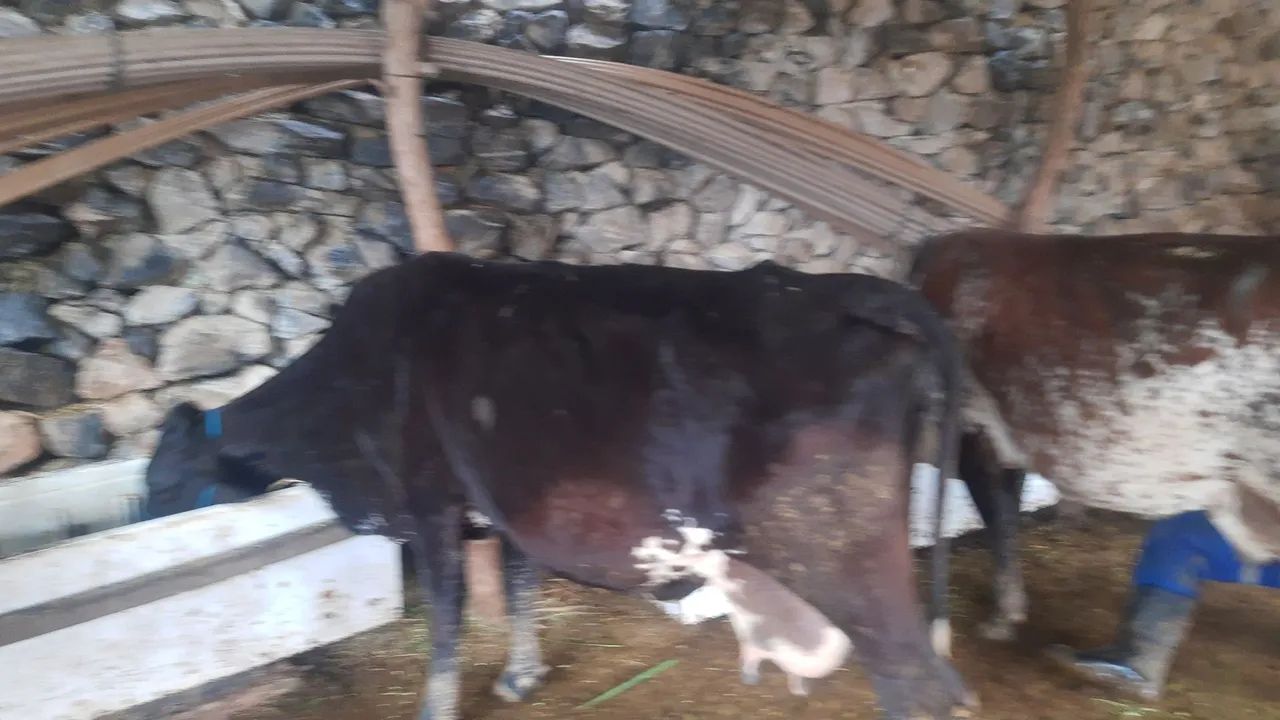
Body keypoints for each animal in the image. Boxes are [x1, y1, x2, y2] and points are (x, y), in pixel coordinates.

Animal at [143, 252, 974, 720]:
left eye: (159, 481)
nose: (147, 514)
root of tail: (846, 290)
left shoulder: (431, 507)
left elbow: (444, 625)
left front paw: (438, 709)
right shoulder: (508, 509)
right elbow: (518, 590)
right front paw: (521, 677)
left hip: (844, 557)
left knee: (917, 686)